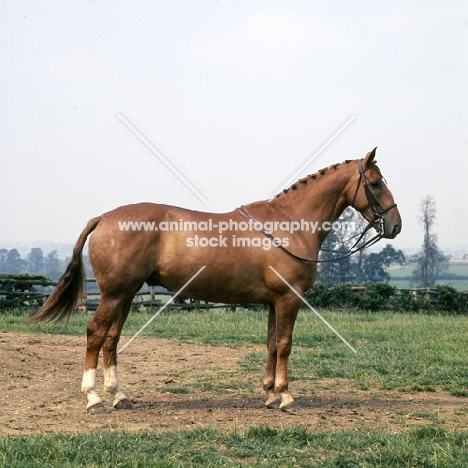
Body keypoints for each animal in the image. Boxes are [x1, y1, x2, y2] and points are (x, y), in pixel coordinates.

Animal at [30, 149, 402, 414]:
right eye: (375, 183)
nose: (395, 225)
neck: (289, 224)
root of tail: (104, 217)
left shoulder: (273, 301)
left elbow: (271, 344)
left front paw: (269, 394)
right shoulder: (288, 298)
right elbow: (284, 344)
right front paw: (285, 396)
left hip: (126, 294)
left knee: (110, 339)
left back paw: (119, 396)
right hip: (114, 294)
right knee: (95, 334)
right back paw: (94, 399)